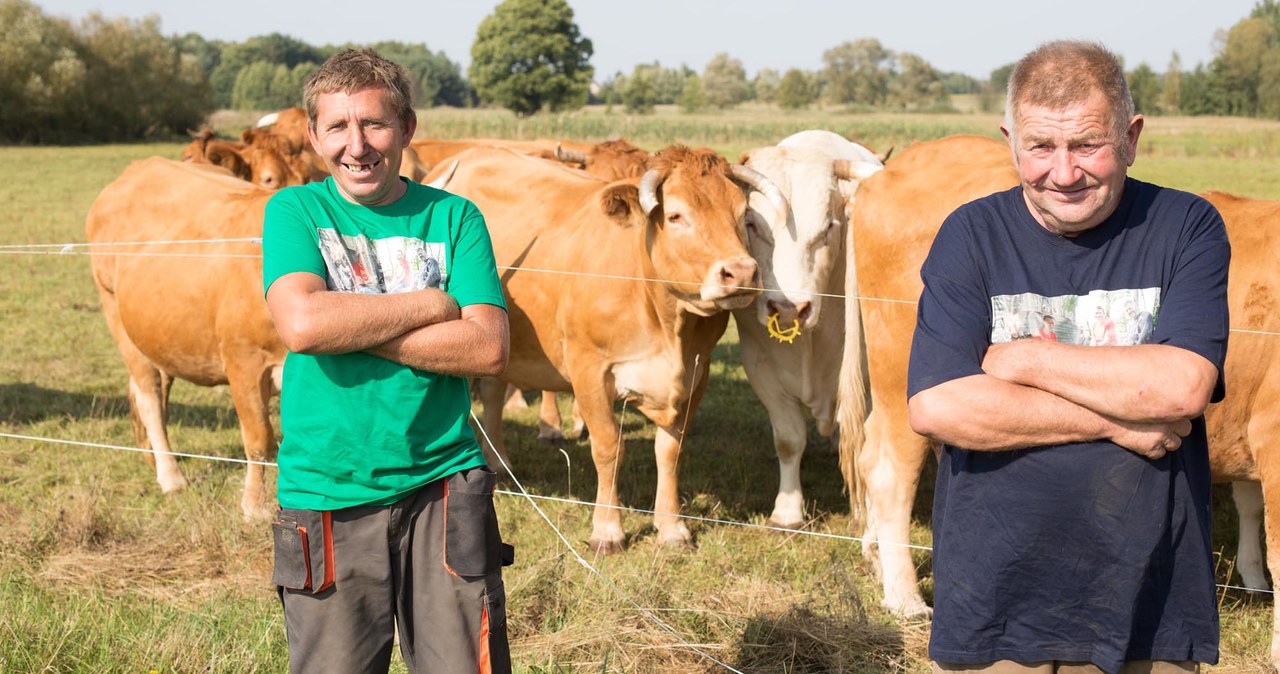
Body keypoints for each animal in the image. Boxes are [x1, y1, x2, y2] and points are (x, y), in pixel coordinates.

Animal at [85, 156, 285, 516]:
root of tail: (141, 165)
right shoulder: (244, 361)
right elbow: (260, 438)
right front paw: (254, 506)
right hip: (115, 313)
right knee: (149, 396)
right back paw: (171, 476)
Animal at [430, 145, 783, 552]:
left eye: (743, 216)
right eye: (676, 215)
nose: (741, 273)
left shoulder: (697, 372)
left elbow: (670, 451)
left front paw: (672, 527)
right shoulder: (590, 370)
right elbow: (608, 447)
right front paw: (608, 530)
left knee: (491, 392)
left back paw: (499, 464)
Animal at [737, 133, 885, 532]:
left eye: (828, 228)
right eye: (752, 224)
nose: (790, 308)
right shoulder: (760, 368)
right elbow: (789, 440)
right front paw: (788, 512)